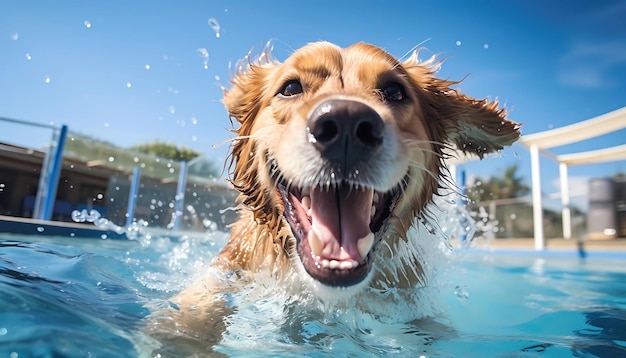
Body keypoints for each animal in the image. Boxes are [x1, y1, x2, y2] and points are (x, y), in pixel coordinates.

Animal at [149, 40, 520, 352]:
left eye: (394, 91)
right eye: (291, 87)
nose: (346, 125)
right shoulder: (229, 270)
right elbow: (198, 303)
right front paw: (180, 335)